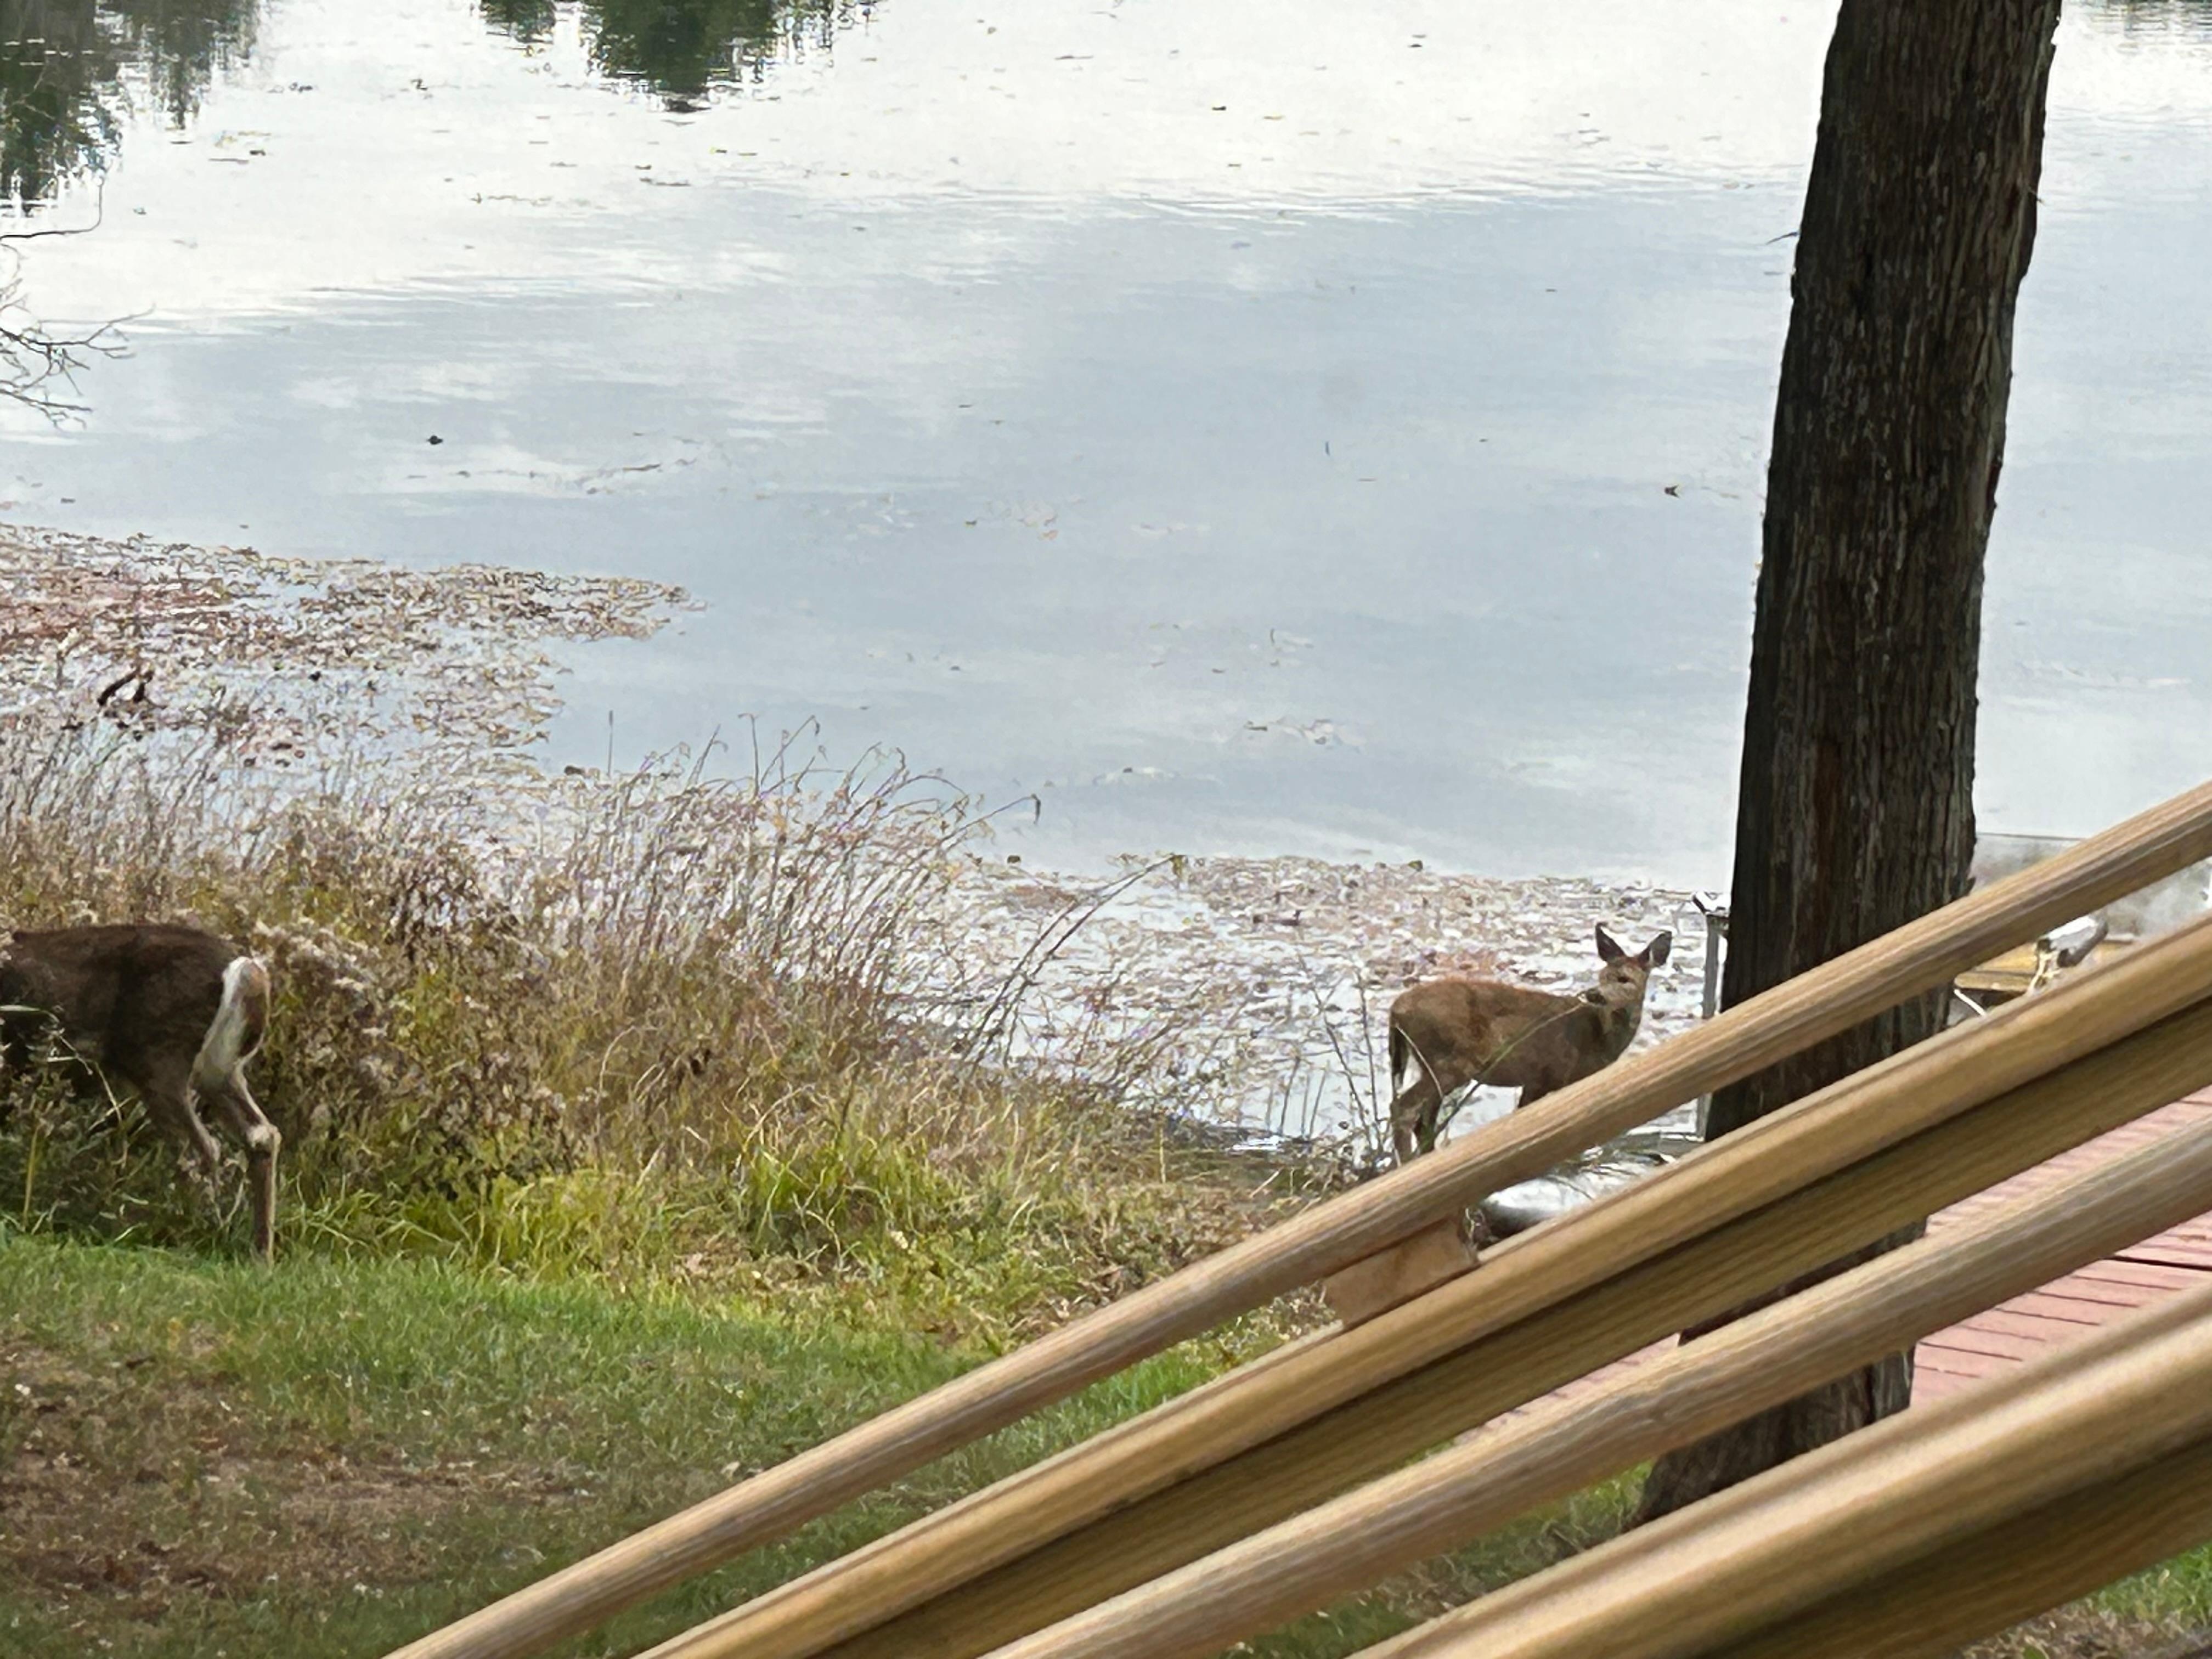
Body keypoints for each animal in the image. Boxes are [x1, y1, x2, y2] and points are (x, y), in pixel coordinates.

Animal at [0, 923, 281, 1259]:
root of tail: (247, 973)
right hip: (219, 1070)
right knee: (261, 1134)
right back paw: (260, 1252)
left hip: (161, 1058)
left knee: (201, 1147)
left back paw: (187, 1231)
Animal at [1386, 925, 1672, 1165]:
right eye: (1603, 975)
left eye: (1624, 979)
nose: (1595, 994)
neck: (1599, 1039)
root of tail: (1395, 1011)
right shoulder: (1552, 1074)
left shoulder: (1537, 1079)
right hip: (1452, 1061)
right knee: (1404, 1108)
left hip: (1431, 1063)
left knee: (1424, 1122)